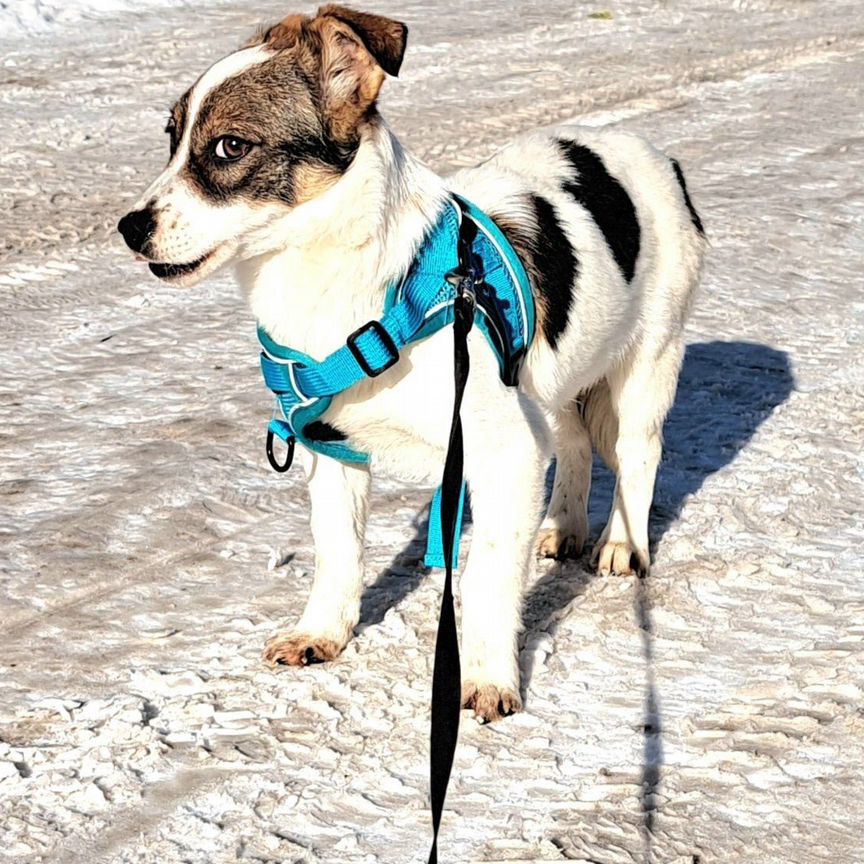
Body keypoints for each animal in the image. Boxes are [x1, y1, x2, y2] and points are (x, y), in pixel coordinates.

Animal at [118, 5, 704, 724]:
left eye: (230, 147)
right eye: (171, 138)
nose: (128, 227)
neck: (355, 293)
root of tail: (653, 153)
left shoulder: (503, 454)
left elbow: (487, 581)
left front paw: (488, 677)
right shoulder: (333, 449)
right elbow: (337, 553)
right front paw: (322, 632)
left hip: (647, 363)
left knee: (636, 453)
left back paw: (621, 543)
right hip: (554, 381)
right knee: (571, 443)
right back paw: (563, 526)